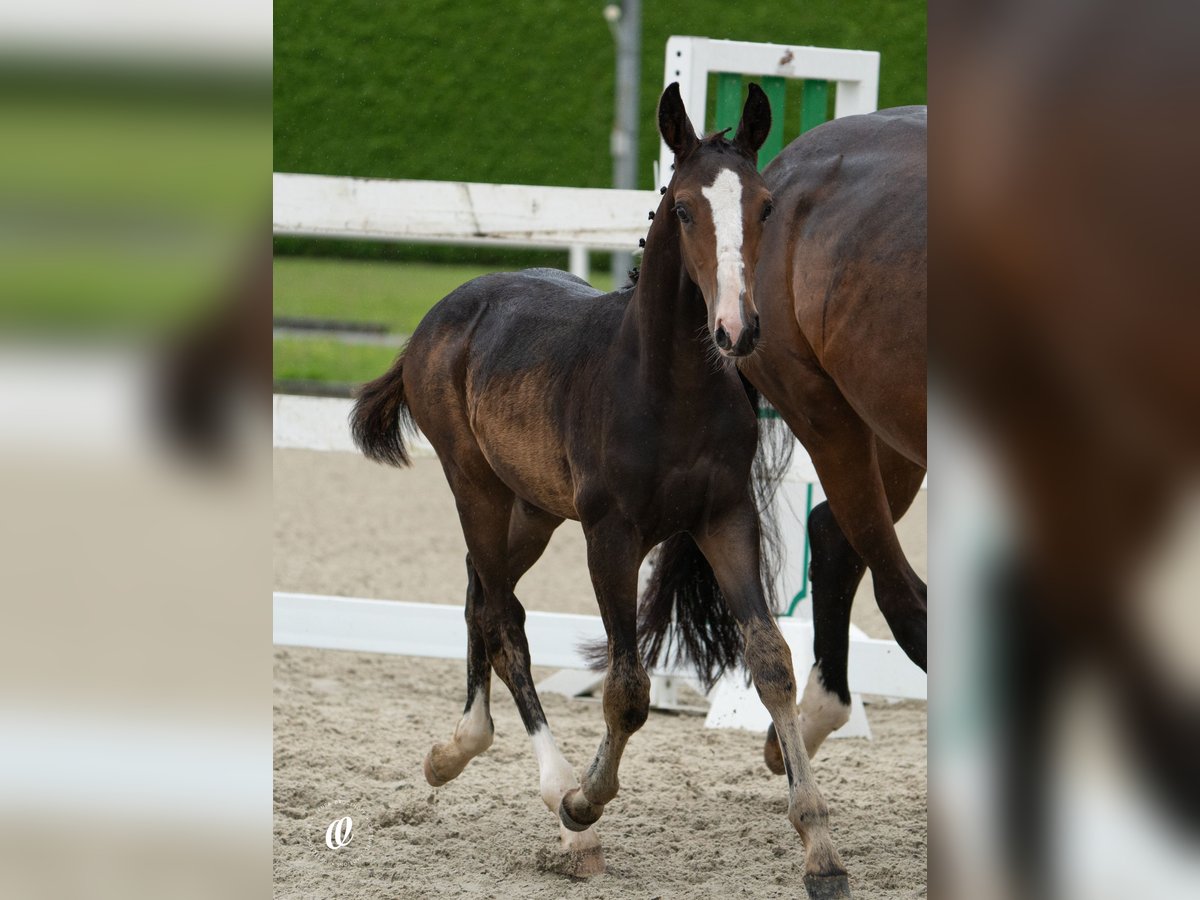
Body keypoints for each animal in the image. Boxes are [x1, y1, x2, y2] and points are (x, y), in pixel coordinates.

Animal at [351, 82, 854, 899]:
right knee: (502, 616)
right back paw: (550, 796)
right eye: (682, 209)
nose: (738, 329)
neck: (665, 389)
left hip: (531, 509)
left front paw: (821, 851)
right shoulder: (610, 536)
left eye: (765, 206)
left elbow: (772, 663)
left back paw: (458, 748)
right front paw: (584, 802)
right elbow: (627, 687)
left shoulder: (727, 518)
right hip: (475, 487)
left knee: (482, 595)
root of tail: (438, 316)